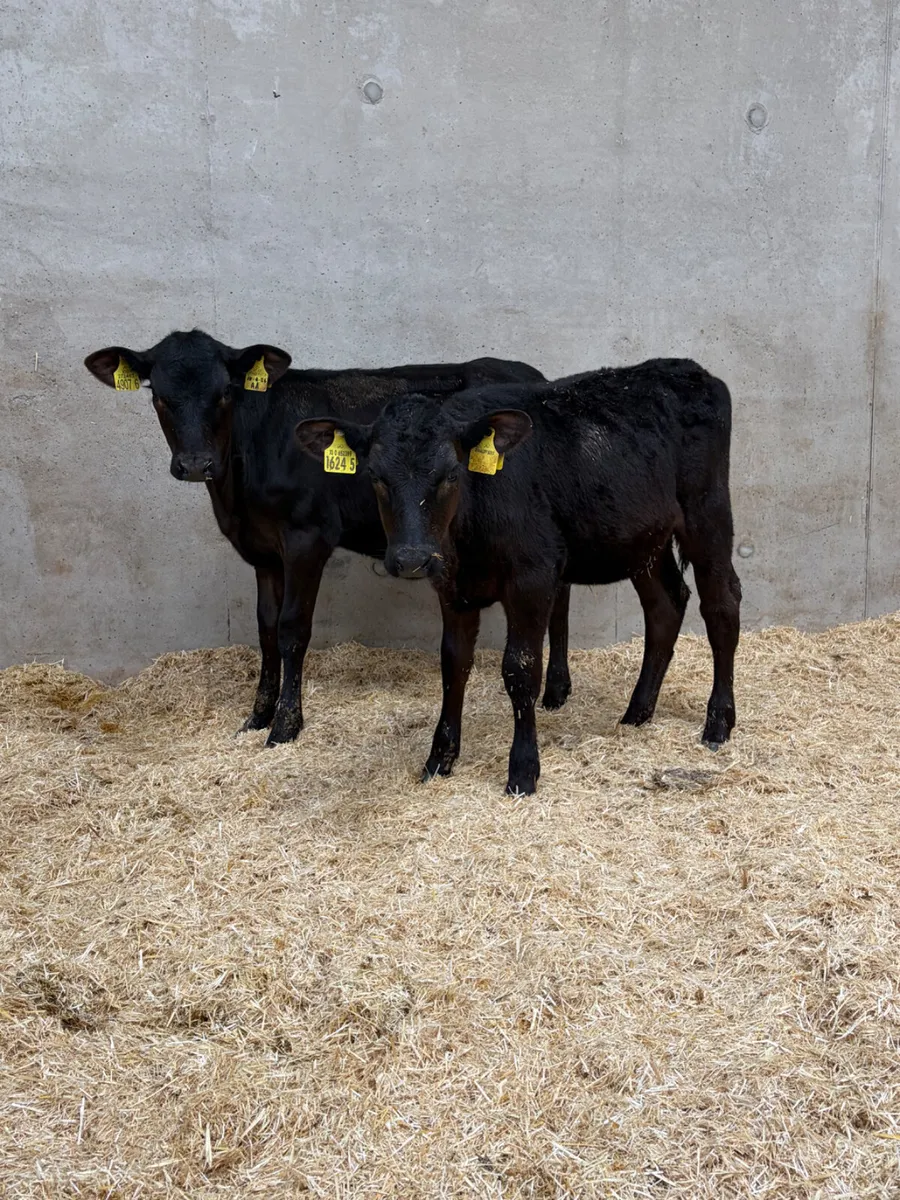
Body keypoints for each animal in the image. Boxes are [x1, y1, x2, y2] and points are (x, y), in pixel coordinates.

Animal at [84, 329, 574, 742]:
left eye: (224, 392)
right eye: (159, 396)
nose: (195, 464)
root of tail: (536, 377)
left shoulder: (307, 537)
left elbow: (292, 628)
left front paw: (284, 726)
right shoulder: (263, 550)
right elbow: (265, 626)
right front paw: (257, 715)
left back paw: (555, 689)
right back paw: (557, 691)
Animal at [295, 359, 742, 794]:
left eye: (451, 474)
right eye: (375, 476)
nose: (411, 559)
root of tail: (689, 370)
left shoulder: (532, 578)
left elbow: (521, 668)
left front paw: (523, 771)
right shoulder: (452, 587)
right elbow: (454, 665)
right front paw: (439, 759)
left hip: (707, 514)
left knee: (722, 604)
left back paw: (718, 723)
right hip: (643, 539)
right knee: (666, 605)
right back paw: (637, 713)